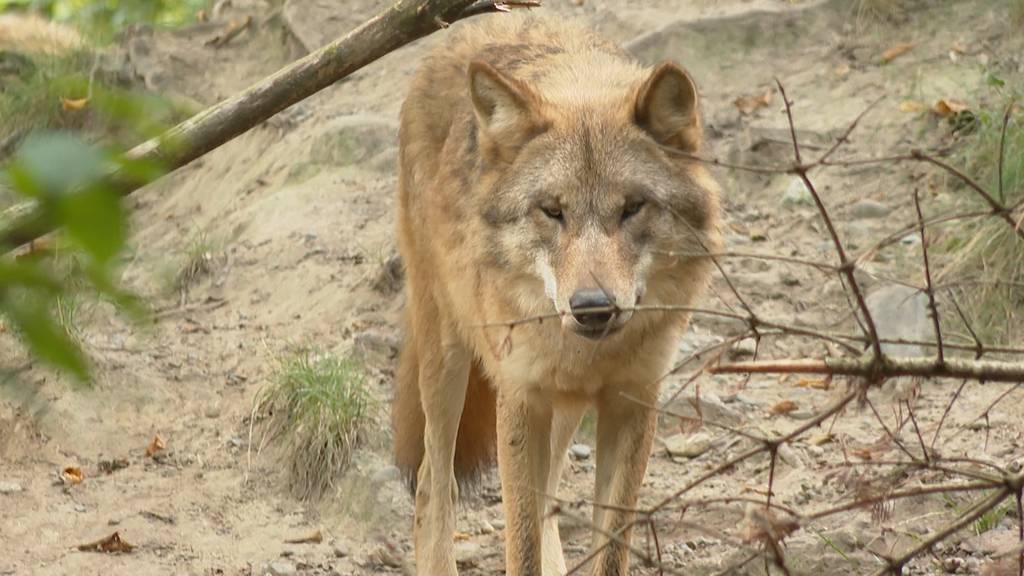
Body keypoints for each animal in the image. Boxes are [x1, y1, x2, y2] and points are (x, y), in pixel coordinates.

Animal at [391, 13, 720, 573]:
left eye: (632, 207)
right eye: (552, 210)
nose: (592, 308)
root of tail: (482, 21)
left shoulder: (632, 402)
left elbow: (609, 547)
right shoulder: (520, 400)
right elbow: (519, 546)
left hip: (563, 408)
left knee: (547, 499)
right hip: (448, 361)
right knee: (434, 485)